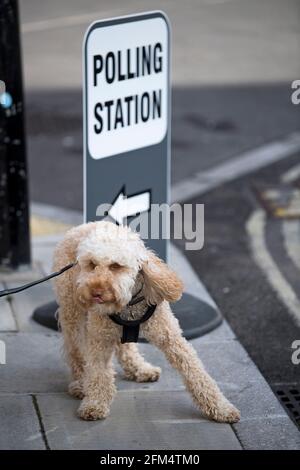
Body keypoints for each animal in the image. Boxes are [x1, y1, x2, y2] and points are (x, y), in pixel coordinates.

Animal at [52, 220, 240, 422]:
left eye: (116, 266)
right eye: (91, 264)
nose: (95, 292)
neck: (129, 304)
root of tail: (80, 228)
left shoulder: (171, 337)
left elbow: (196, 372)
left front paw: (221, 408)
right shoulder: (99, 340)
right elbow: (98, 373)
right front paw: (94, 403)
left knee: (124, 346)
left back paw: (139, 368)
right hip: (73, 314)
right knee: (76, 351)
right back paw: (80, 383)